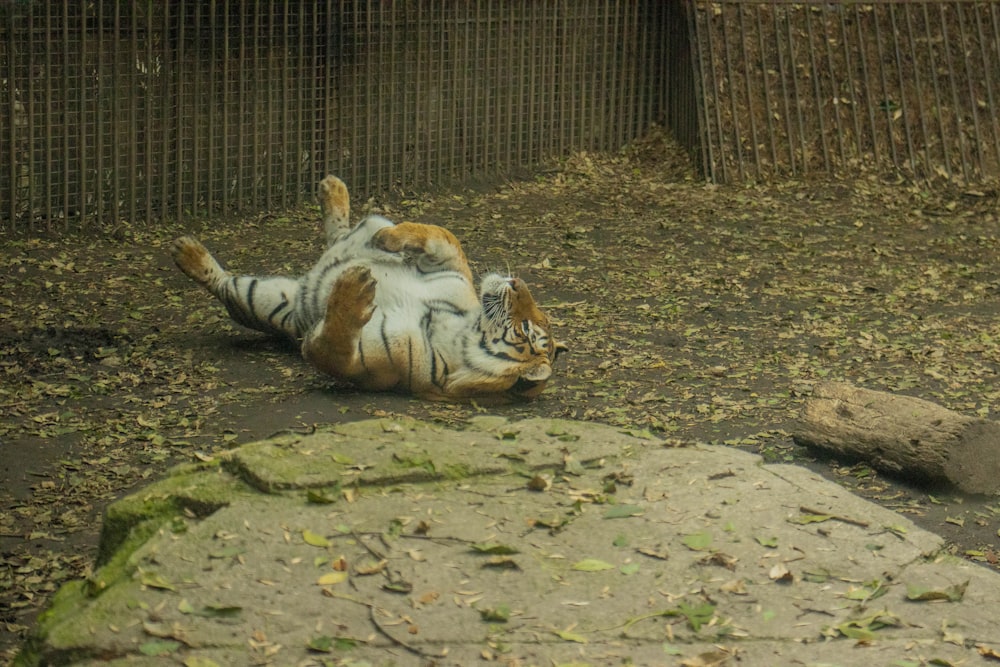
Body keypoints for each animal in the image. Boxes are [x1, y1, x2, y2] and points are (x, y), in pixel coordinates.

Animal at [168, 175, 568, 400]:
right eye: (534, 320)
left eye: (525, 330)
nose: (517, 282)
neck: (458, 327)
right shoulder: (453, 272)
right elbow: (441, 235)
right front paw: (388, 240)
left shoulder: (359, 362)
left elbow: (329, 347)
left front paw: (353, 291)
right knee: (343, 233)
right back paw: (334, 189)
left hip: (262, 299)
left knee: (226, 287)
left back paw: (185, 251)